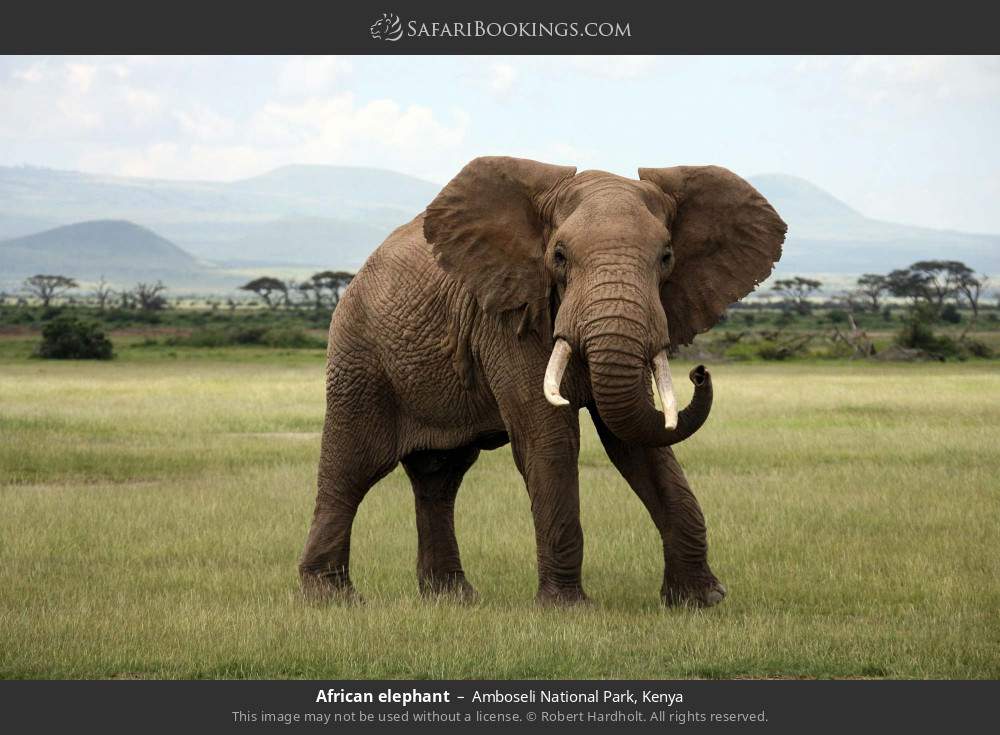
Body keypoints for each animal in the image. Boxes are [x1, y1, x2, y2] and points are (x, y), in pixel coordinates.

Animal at [299, 157, 786, 607]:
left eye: (666, 258)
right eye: (560, 257)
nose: (700, 372)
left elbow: (638, 441)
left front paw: (701, 601)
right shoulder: (509, 316)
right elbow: (549, 437)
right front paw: (568, 609)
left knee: (439, 478)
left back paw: (453, 600)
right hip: (358, 358)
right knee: (352, 468)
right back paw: (332, 598)